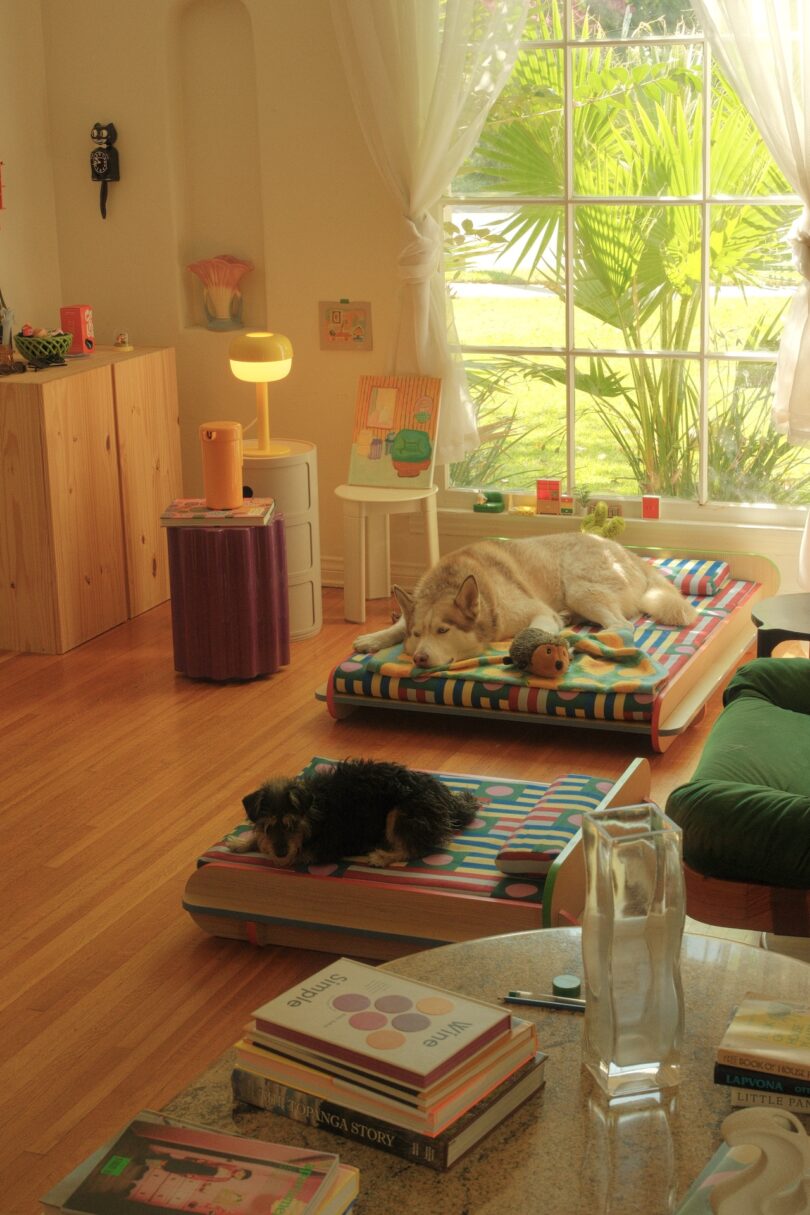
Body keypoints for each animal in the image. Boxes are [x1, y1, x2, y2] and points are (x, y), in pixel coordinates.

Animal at [227, 753, 480, 869]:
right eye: (267, 826)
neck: (314, 813)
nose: (280, 852)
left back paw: (382, 856)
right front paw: (242, 842)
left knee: (415, 848)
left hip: (400, 813)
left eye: (292, 824)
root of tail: (447, 800)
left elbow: (295, 855)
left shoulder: (321, 849)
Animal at [354, 534, 699, 670]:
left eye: (443, 631)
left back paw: (587, 637)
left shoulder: (537, 612)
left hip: (580, 589)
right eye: (417, 634)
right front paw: (373, 638)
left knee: (623, 625)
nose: (419, 658)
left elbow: (527, 632)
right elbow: (396, 625)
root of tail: (625, 552)